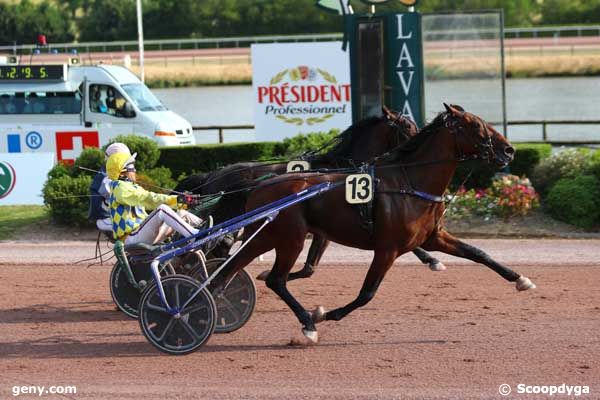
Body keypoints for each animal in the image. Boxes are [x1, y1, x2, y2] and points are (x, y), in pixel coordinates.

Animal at [175, 106, 446, 276]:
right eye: (408, 127)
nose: (420, 142)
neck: (342, 165)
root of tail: (214, 175)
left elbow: (309, 267)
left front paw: (432, 259)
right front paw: (433, 259)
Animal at [210, 104, 536, 344]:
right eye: (476, 126)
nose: (509, 150)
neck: (409, 181)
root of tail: (257, 186)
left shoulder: (434, 237)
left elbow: (479, 254)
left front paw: (521, 279)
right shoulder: (387, 249)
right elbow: (366, 293)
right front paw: (323, 315)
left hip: (265, 236)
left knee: (230, 268)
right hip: (289, 238)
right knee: (273, 278)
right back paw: (306, 323)